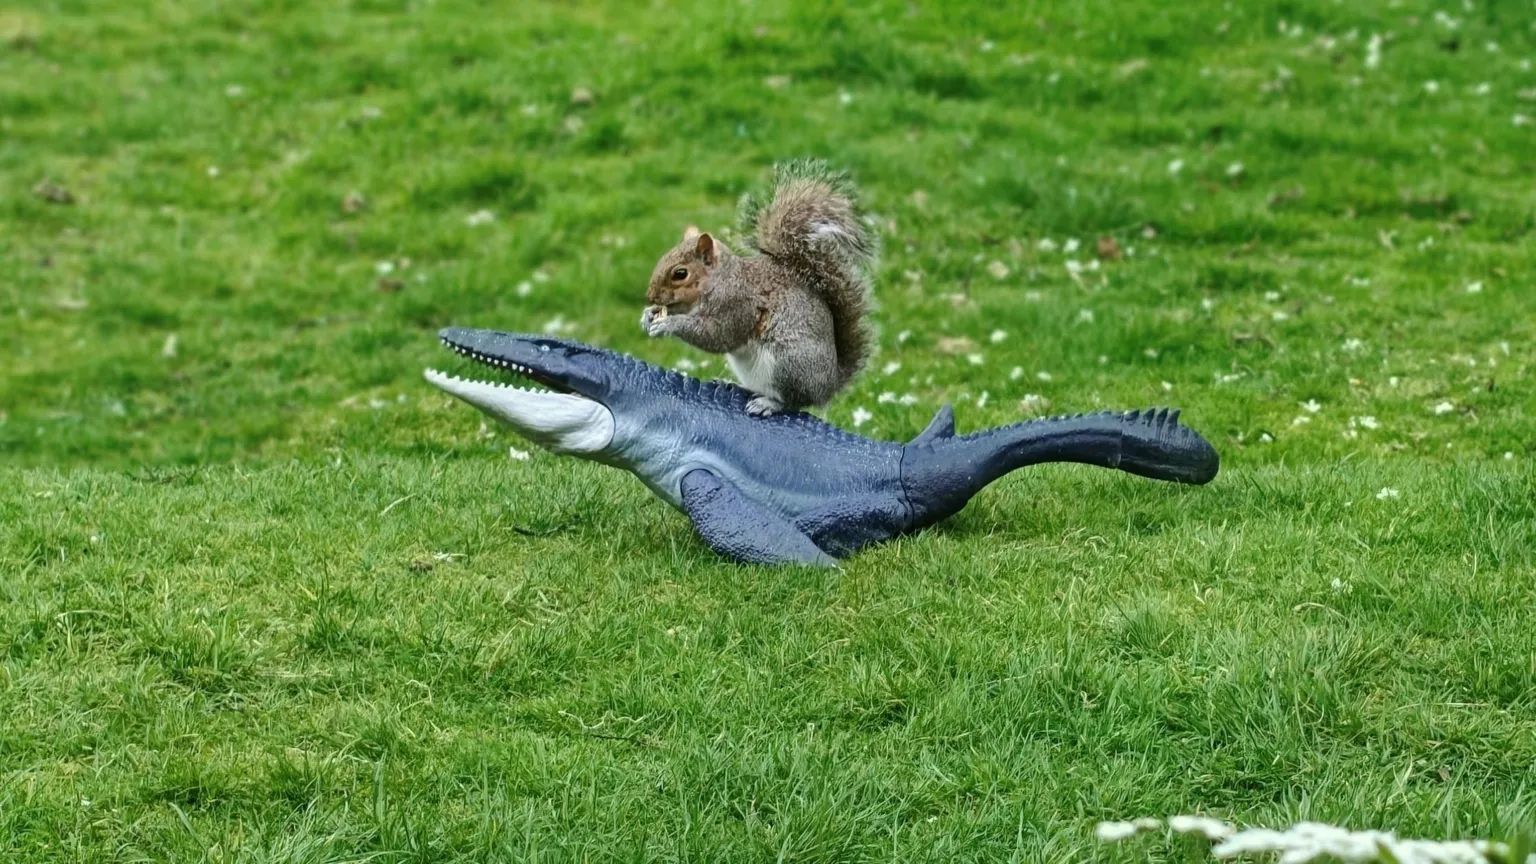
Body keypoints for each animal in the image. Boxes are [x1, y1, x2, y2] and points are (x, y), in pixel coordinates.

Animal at [640, 159, 877, 417]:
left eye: (680, 274)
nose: (650, 296)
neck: (721, 280)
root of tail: (829, 385)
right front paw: (649, 315)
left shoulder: (738, 304)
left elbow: (716, 335)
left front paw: (669, 324)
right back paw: (733, 385)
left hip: (788, 364)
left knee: (793, 401)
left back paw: (769, 403)